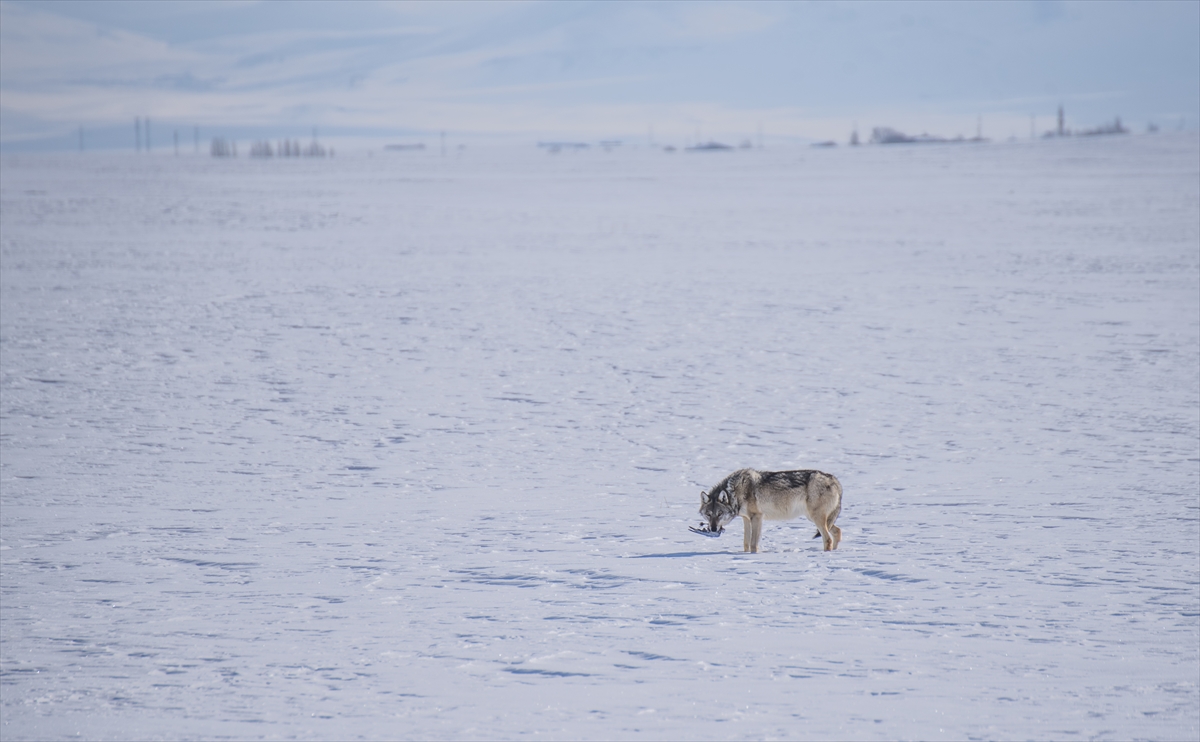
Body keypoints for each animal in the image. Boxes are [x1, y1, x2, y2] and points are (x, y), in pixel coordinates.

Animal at [696, 468, 844, 549]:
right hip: (816, 519)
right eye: (708, 514)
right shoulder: (746, 519)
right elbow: (746, 543)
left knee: (828, 539)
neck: (735, 491)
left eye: (719, 514)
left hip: (816, 518)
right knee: (837, 532)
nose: (713, 529)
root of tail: (834, 479)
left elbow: (753, 544)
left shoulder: (757, 517)